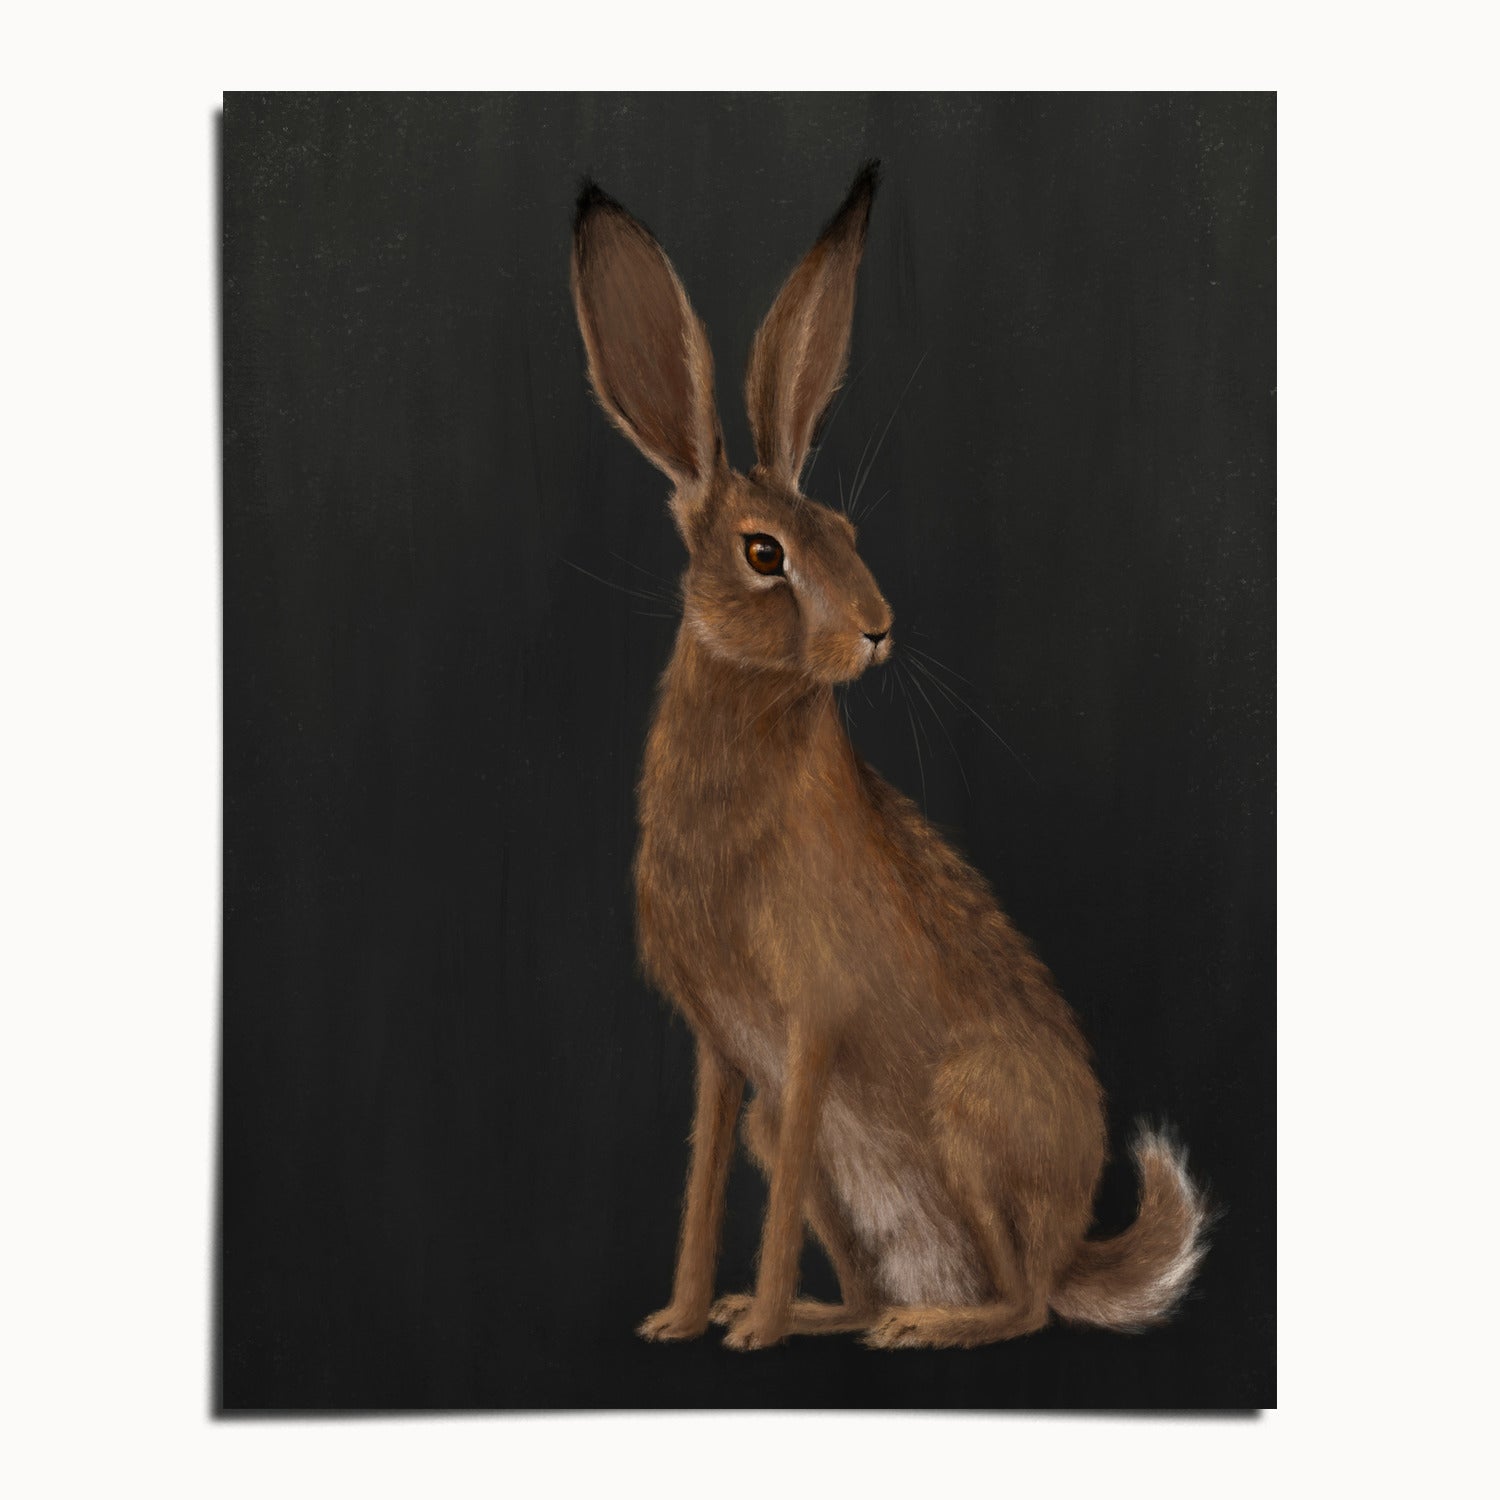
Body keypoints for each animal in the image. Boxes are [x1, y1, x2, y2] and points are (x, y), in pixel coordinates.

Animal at [569, 161, 1210, 1350]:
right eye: (764, 552)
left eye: (849, 533)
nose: (877, 628)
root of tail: (1072, 1246)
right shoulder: (728, 1058)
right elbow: (705, 1182)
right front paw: (684, 1318)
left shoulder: (811, 1027)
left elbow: (766, 1198)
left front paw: (751, 1334)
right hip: (822, 1143)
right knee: (878, 1274)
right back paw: (832, 1314)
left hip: (970, 1115)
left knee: (1025, 1306)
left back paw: (924, 1326)